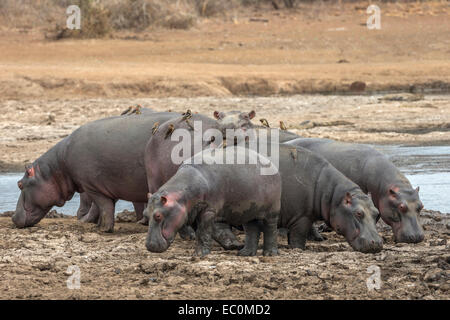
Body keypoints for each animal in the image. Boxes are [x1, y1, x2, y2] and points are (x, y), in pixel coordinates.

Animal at [12, 111, 178, 231]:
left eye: (19, 184)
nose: (13, 217)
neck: (56, 168)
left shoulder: (93, 186)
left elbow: (102, 206)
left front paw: (101, 229)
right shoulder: (108, 185)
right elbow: (103, 207)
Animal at [145, 146, 282, 256]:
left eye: (158, 215)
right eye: (146, 214)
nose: (150, 246)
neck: (182, 195)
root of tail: (270, 163)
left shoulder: (209, 210)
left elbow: (203, 231)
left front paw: (199, 254)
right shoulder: (193, 212)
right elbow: (200, 232)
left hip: (272, 210)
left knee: (271, 229)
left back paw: (270, 254)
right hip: (248, 210)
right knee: (252, 229)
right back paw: (244, 253)